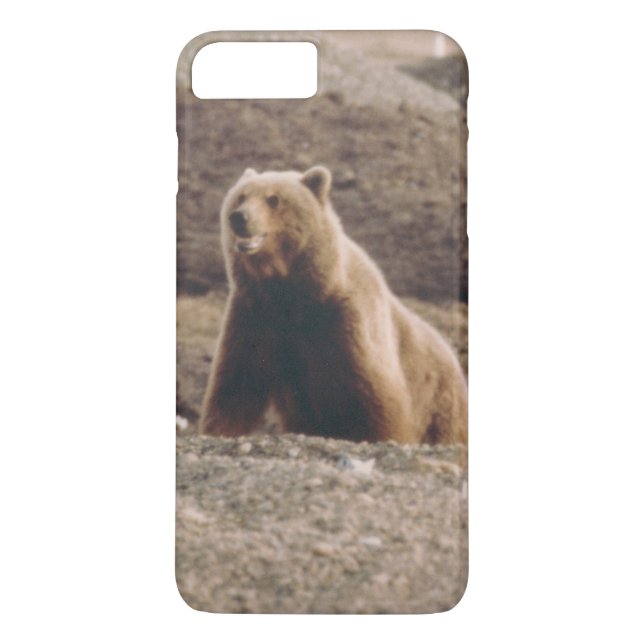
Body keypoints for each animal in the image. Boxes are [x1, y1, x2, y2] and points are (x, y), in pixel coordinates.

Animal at [199, 166, 467, 445]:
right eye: (241, 196)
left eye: (273, 199)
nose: (239, 217)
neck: (294, 292)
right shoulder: (256, 314)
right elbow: (236, 383)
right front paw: (218, 429)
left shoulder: (348, 319)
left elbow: (379, 396)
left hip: (440, 405)